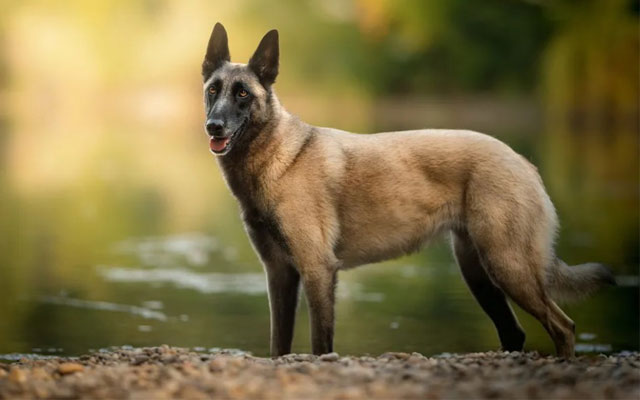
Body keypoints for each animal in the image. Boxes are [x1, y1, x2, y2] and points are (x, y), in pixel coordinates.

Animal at [200, 22, 616, 360]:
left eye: (242, 94)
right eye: (213, 90)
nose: (213, 126)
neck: (278, 157)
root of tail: (521, 160)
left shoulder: (317, 271)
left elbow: (320, 345)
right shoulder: (280, 274)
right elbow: (278, 347)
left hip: (508, 265)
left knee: (563, 327)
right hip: (480, 273)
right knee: (514, 333)